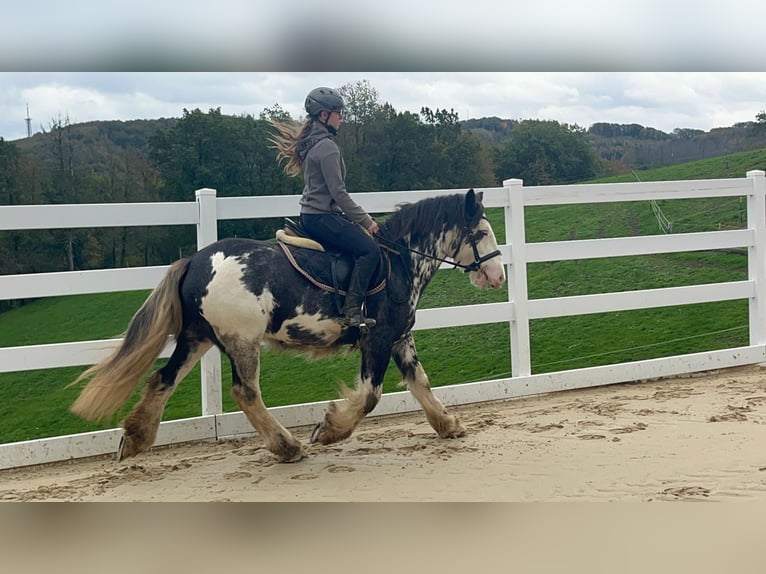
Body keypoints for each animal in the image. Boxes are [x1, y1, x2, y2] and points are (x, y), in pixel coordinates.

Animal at [69, 189, 506, 463]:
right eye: (482, 232)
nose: (498, 275)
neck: (398, 262)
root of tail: (194, 261)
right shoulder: (378, 337)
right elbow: (370, 395)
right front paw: (328, 430)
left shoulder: (398, 337)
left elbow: (420, 382)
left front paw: (448, 424)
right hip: (241, 341)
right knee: (246, 393)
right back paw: (288, 447)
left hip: (197, 338)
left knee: (163, 379)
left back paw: (135, 439)